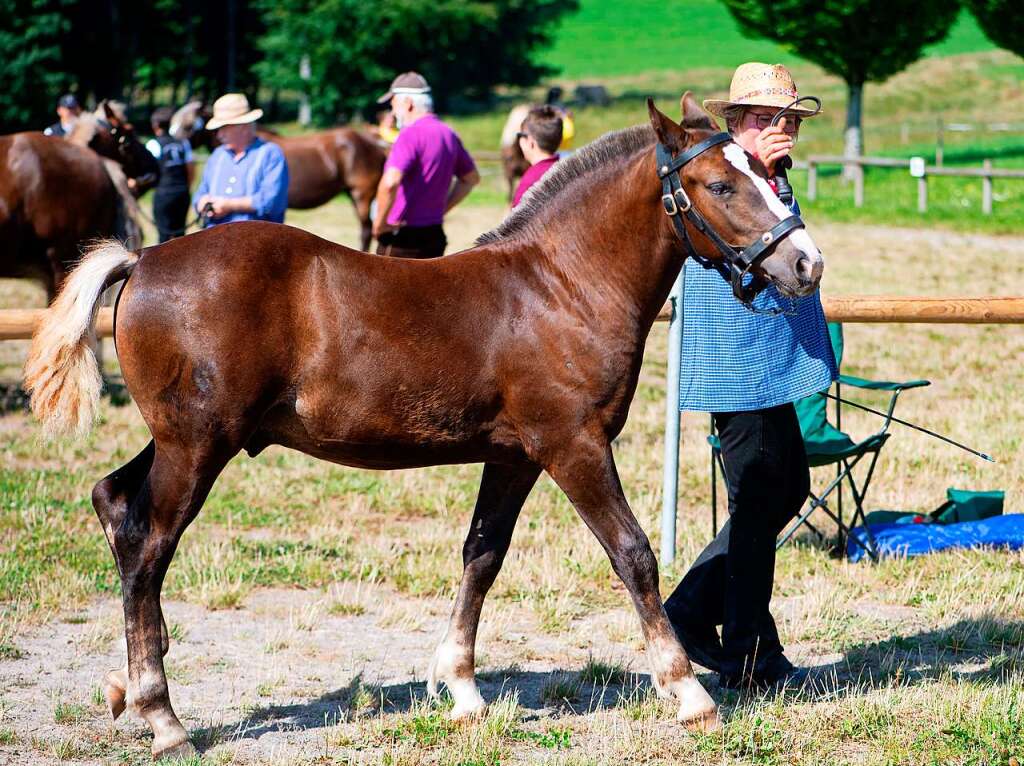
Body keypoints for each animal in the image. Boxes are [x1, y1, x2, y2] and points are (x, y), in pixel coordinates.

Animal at [25, 92, 823, 757]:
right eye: (721, 185)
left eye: (766, 172)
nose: (805, 263)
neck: (560, 285)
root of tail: (144, 257)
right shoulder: (574, 445)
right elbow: (633, 553)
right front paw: (687, 692)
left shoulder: (515, 456)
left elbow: (482, 556)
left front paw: (463, 690)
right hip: (196, 448)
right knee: (147, 545)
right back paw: (164, 717)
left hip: (181, 442)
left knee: (111, 501)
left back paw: (126, 687)